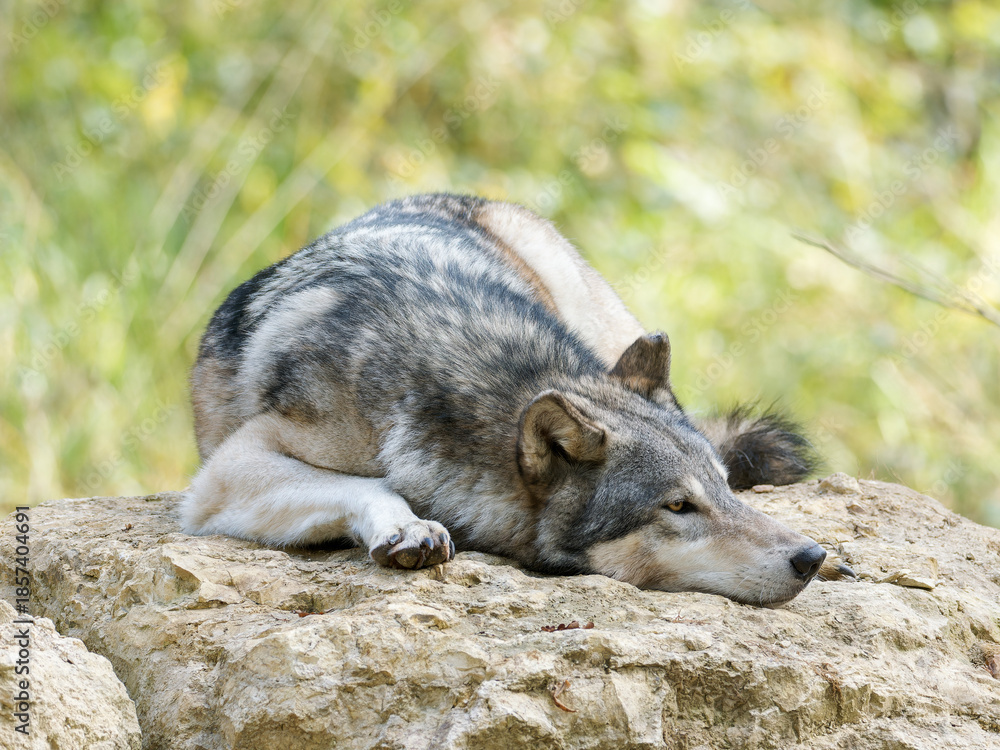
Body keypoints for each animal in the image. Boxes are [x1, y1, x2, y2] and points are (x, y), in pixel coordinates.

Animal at [181, 193, 848, 607]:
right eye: (678, 507)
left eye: (723, 491)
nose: (808, 557)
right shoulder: (226, 471)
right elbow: (369, 484)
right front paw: (410, 525)